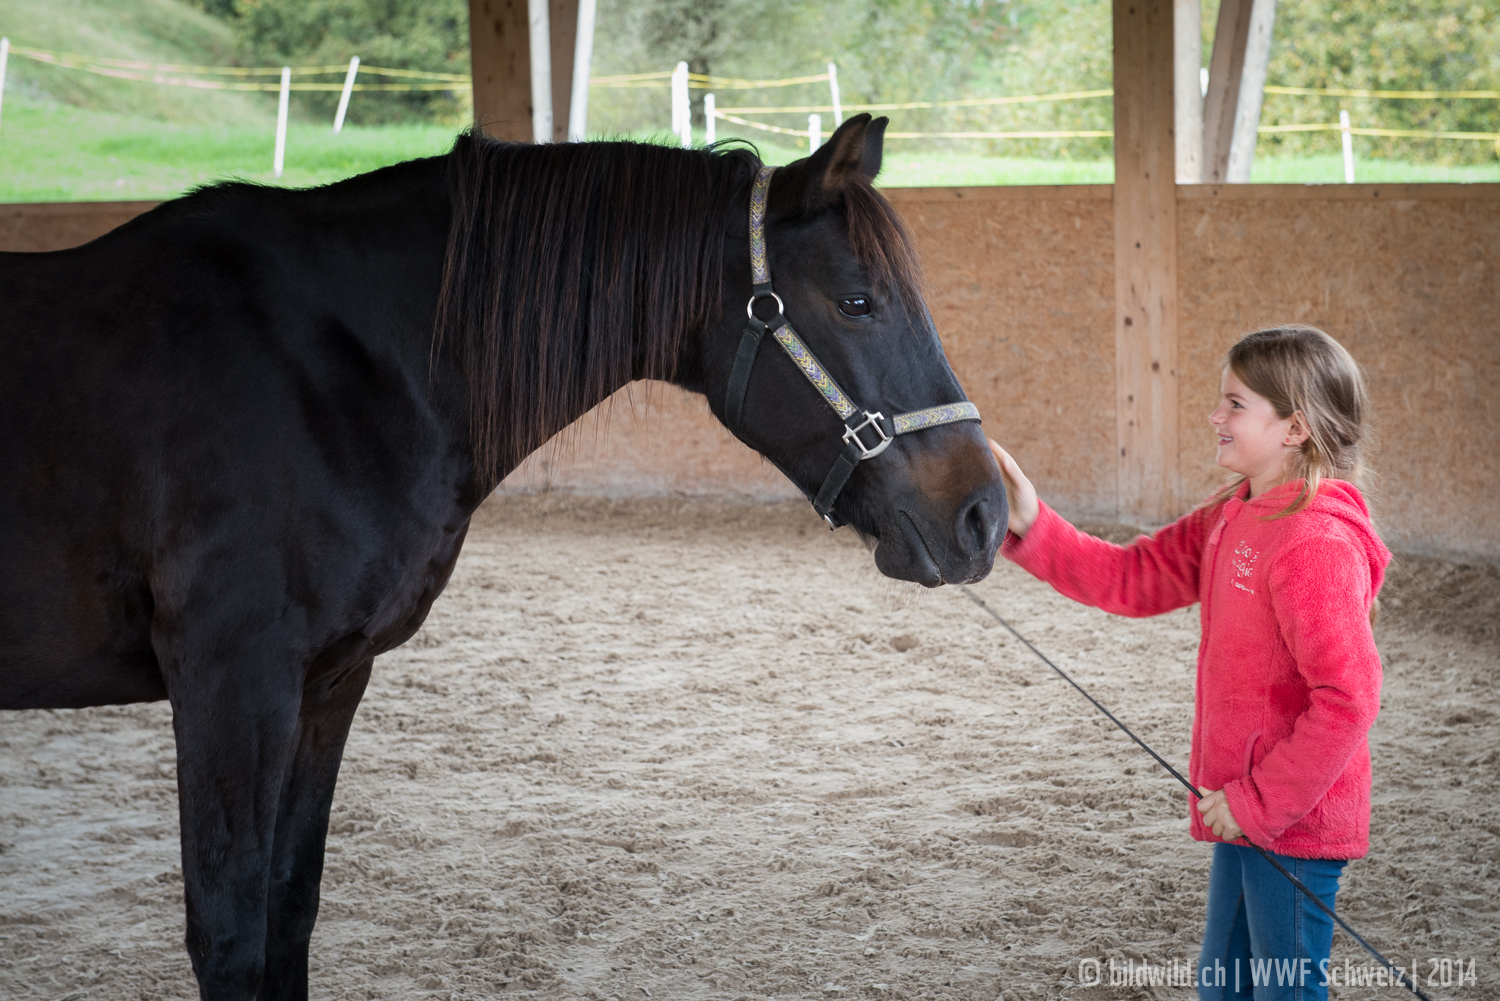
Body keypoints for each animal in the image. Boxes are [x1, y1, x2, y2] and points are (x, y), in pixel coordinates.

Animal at [0, 114, 1005, 1000]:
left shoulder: (329, 683)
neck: (333, 368)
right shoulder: (231, 682)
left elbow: (290, 911)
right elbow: (230, 937)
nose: (983, 516)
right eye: (857, 301)